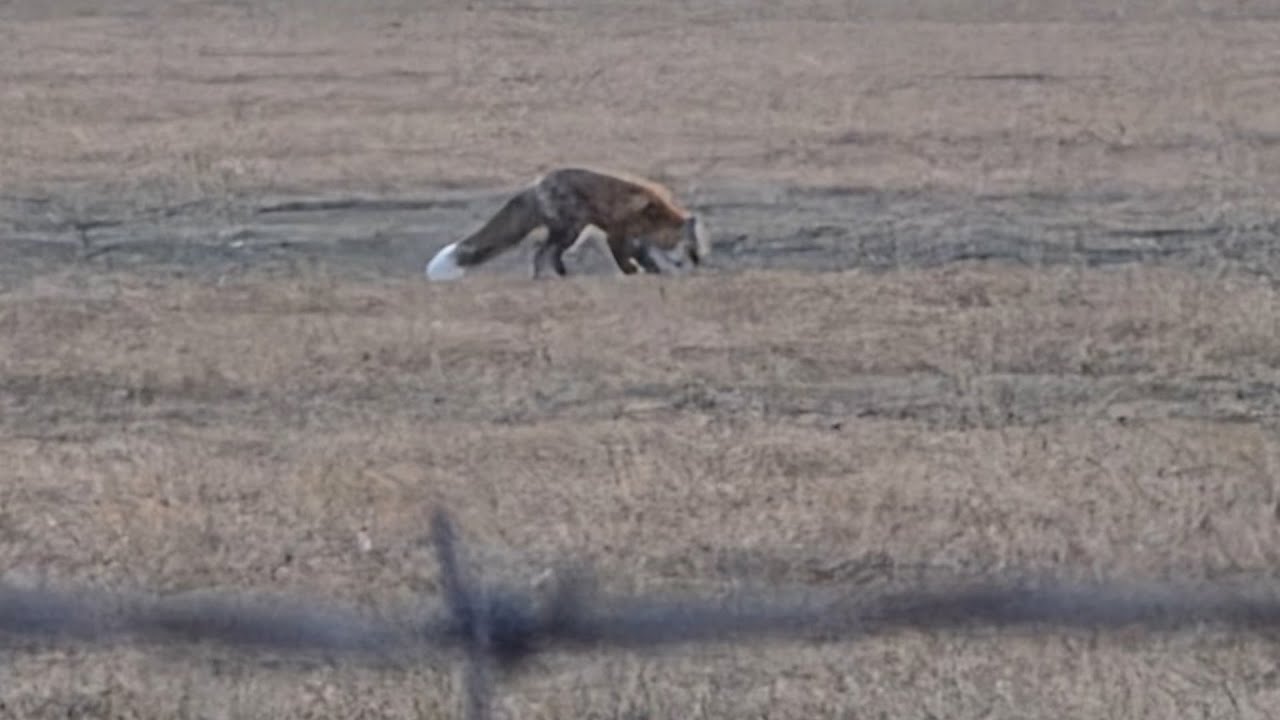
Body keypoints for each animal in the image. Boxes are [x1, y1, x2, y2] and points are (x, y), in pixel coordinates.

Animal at [425, 167, 710, 281]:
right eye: (691, 248)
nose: (697, 264)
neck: (656, 217)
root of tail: (538, 185)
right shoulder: (617, 233)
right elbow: (625, 258)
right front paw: (633, 273)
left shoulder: (635, 239)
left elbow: (644, 258)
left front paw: (650, 271)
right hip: (570, 230)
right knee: (542, 252)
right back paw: (549, 276)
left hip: (569, 232)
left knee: (543, 252)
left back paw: (555, 274)